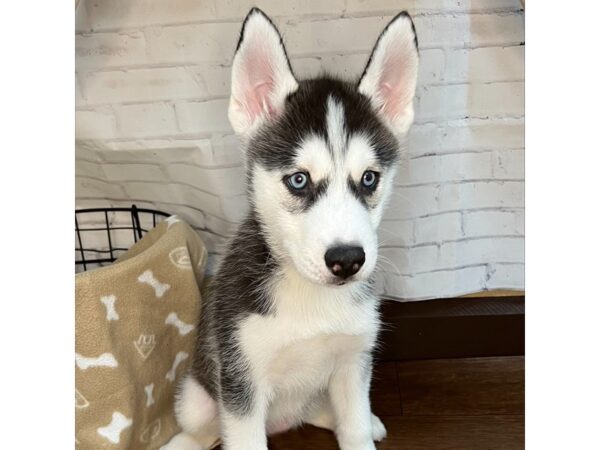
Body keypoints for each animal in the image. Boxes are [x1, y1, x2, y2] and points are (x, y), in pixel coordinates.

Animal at [164, 7, 418, 450]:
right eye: (298, 180)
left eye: (369, 178)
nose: (347, 260)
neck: (310, 296)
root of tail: (280, 422)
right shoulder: (240, 380)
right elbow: (240, 435)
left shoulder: (353, 362)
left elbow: (353, 426)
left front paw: (361, 428)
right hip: (197, 396)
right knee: (204, 428)